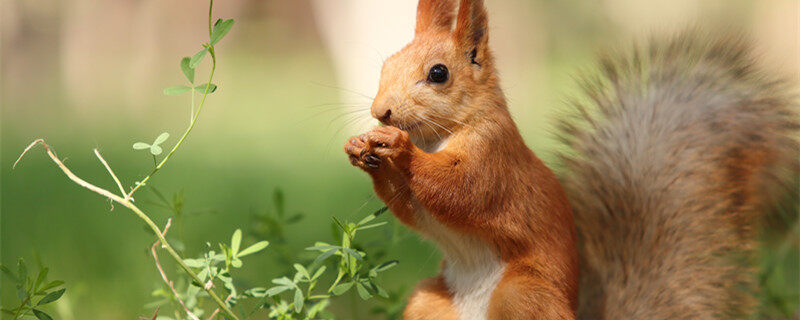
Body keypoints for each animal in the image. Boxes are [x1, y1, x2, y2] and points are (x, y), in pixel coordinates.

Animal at [340, 0, 796, 318]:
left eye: (439, 73)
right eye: (387, 64)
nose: (381, 112)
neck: (436, 139)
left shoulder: (494, 158)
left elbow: (460, 190)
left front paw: (400, 150)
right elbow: (411, 207)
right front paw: (361, 149)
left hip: (523, 296)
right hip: (429, 303)